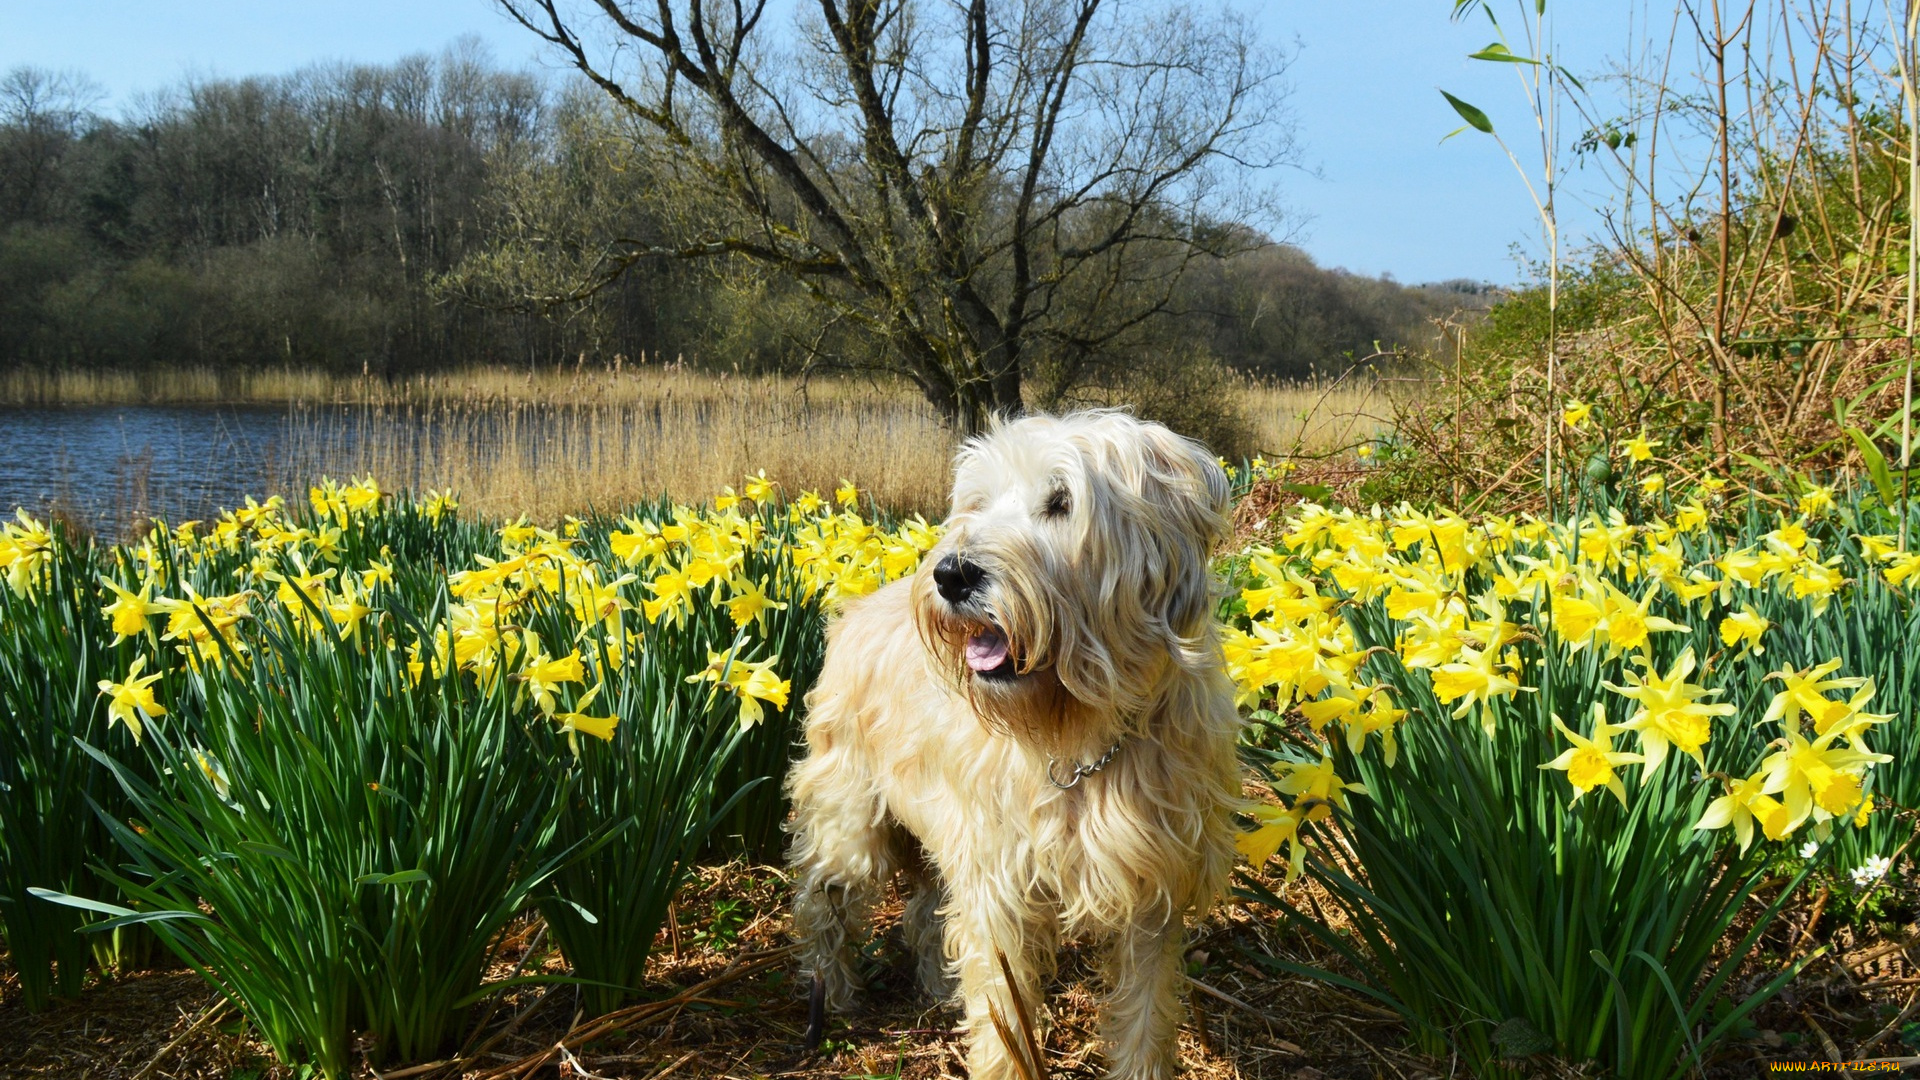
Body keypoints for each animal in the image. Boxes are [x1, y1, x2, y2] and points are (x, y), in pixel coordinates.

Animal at [787, 407, 1236, 1068]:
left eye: (1061, 501)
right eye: (977, 502)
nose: (950, 573)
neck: (1081, 736)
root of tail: (855, 608)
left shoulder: (1154, 890)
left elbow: (1145, 1015)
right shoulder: (998, 884)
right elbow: (1003, 1014)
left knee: (923, 910)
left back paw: (933, 983)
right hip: (848, 820)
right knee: (827, 904)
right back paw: (833, 995)